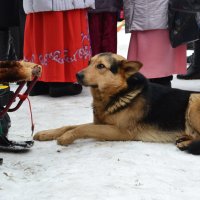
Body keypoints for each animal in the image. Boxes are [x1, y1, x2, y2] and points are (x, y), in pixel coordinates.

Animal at [33, 52, 200, 155]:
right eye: (89, 63)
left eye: (101, 66)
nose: (77, 75)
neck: (118, 93)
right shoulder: (101, 123)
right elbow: (69, 125)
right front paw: (46, 133)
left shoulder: (122, 131)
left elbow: (83, 128)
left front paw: (67, 137)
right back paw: (184, 141)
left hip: (193, 100)